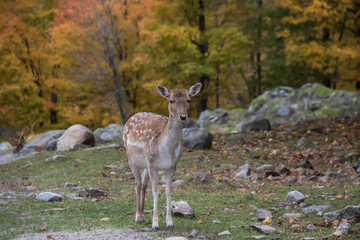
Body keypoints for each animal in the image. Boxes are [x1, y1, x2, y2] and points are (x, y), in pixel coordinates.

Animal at [123, 82, 202, 231]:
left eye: (189, 100)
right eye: (171, 100)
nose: (183, 116)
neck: (166, 149)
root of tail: (132, 117)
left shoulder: (172, 165)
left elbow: (168, 190)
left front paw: (170, 223)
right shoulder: (152, 163)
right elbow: (155, 190)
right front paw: (155, 225)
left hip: (145, 164)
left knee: (143, 183)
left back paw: (142, 216)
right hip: (131, 159)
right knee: (137, 183)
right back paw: (138, 217)